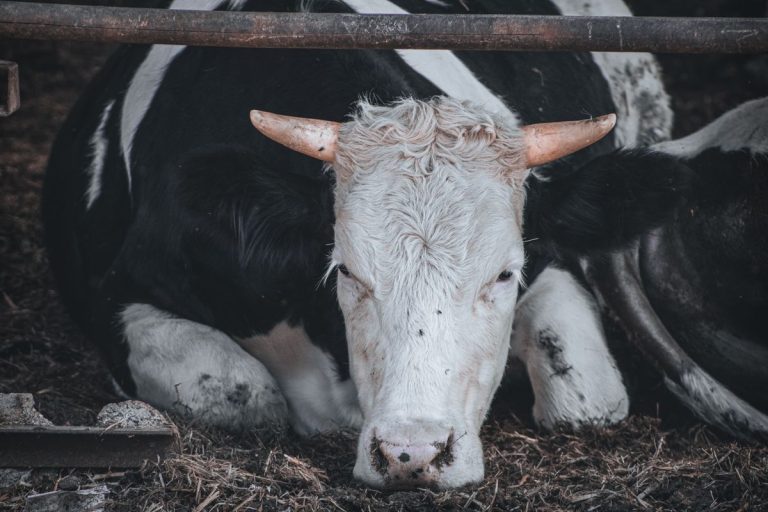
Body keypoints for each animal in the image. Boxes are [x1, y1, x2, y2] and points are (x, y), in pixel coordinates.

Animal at [43, 0, 765, 491]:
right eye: (346, 272)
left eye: (505, 275)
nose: (412, 454)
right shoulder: (116, 291)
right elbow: (242, 391)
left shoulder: (553, 254)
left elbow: (588, 398)